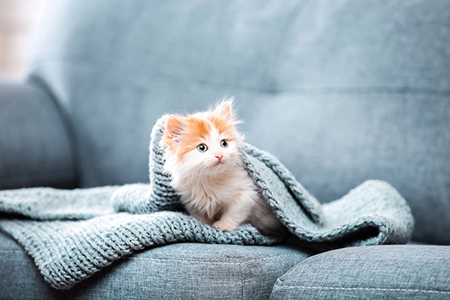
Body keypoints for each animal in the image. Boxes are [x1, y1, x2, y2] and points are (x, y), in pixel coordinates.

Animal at [160, 99, 284, 236]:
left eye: (224, 143)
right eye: (202, 147)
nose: (219, 155)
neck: (209, 179)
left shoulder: (247, 193)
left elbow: (235, 212)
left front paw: (224, 225)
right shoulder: (191, 199)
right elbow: (199, 215)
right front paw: (204, 223)